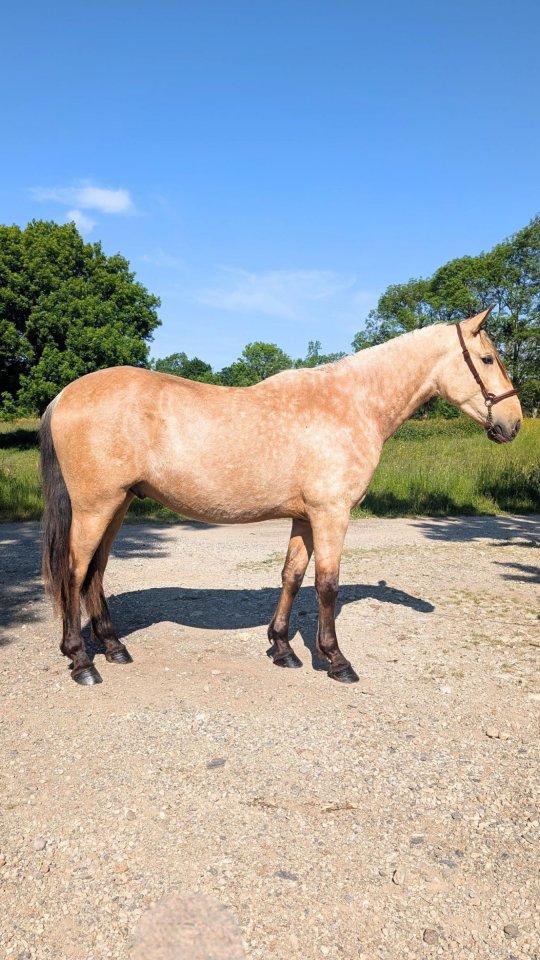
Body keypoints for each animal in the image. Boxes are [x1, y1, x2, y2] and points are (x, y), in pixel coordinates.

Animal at [40, 307, 521, 686]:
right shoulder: (331, 514)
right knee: (74, 572)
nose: (514, 423)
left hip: (117, 504)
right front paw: (335, 660)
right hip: (96, 507)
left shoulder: (305, 516)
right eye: (487, 358)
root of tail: (63, 395)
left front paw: (282, 648)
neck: (352, 403)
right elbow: (327, 585)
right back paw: (81, 661)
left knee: (95, 573)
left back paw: (113, 647)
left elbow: (291, 575)